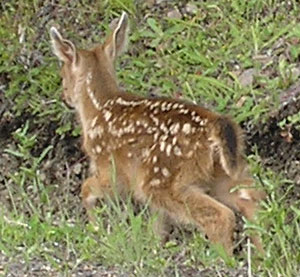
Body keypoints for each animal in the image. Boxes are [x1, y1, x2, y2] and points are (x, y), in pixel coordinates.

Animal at [49, 12, 264, 254]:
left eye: (62, 74)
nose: (64, 97)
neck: (96, 108)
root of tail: (214, 126)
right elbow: (157, 226)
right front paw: (154, 249)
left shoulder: (111, 170)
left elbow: (86, 188)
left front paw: (96, 228)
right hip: (221, 173)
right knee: (252, 200)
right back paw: (261, 254)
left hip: (162, 180)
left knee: (221, 216)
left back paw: (223, 258)